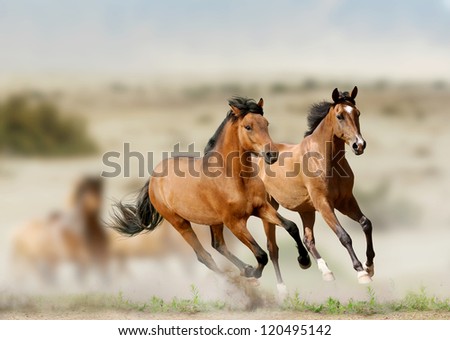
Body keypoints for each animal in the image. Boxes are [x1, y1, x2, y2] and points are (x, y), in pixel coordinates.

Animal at [110, 97, 312, 280]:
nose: (272, 154)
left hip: (214, 221)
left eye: (266, 123)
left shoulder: (261, 208)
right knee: (204, 255)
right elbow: (261, 254)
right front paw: (253, 273)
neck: (235, 177)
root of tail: (153, 178)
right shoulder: (234, 222)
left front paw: (304, 261)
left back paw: (243, 269)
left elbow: (291, 226)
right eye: (248, 126)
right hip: (180, 223)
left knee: (218, 245)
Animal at [258, 86, 374, 286]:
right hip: (270, 208)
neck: (325, 160)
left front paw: (370, 266)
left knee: (308, 239)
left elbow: (366, 224)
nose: (359, 145)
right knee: (272, 248)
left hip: (306, 210)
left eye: (357, 113)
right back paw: (282, 287)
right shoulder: (324, 204)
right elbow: (344, 236)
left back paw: (324, 270)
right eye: (340, 116)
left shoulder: (345, 201)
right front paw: (361, 272)